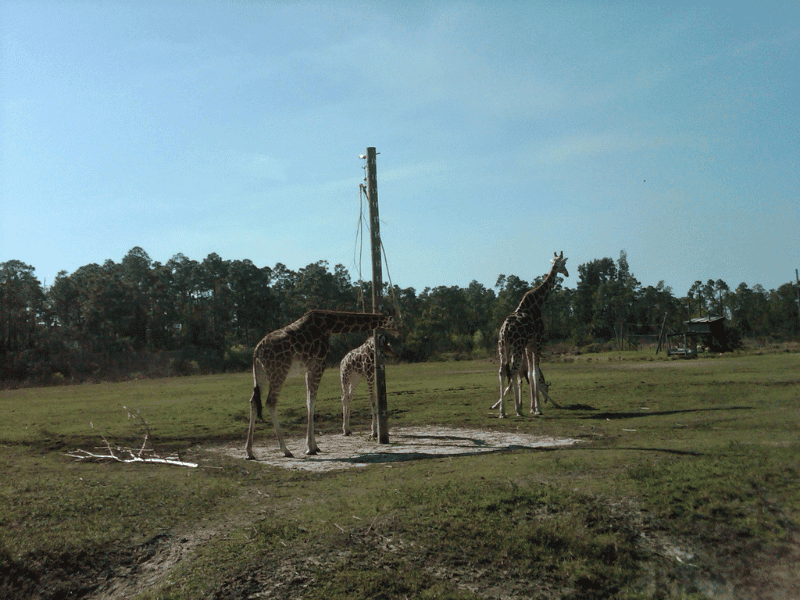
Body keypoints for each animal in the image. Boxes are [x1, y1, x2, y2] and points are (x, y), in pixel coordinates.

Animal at [241, 310, 396, 460]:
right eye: (394, 323)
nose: (397, 332)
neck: (329, 325)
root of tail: (257, 351)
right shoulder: (319, 364)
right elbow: (312, 401)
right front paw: (310, 448)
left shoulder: (309, 368)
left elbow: (309, 401)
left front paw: (314, 446)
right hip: (279, 372)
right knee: (270, 402)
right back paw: (285, 450)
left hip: (260, 376)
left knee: (253, 401)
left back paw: (249, 452)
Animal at [490, 252, 564, 418]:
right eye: (563, 264)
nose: (567, 273)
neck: (536, 304)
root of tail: (504, 331)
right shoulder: (538, 340)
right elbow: (534, 372)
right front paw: (536, 408)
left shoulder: (529, 343)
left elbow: (530, 373)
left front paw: (533, 407)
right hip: (517, 347)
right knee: (513, 370)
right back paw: (517, 409)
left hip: (503, 347)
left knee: (502, 371)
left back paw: (503, 411)